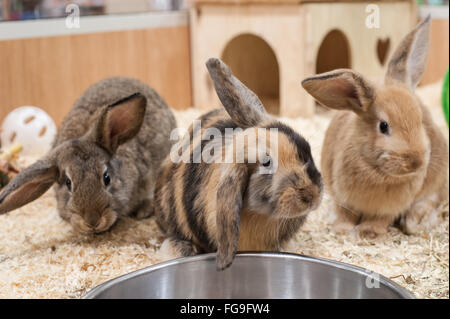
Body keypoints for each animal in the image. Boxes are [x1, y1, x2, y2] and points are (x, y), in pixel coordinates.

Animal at [300, 16, 448, 239]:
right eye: (383, 126)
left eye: (420, 119)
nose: (416, 162)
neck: (376, 171)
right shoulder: (342, 198)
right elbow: (345, 214)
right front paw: (342, 230)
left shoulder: (390, 208)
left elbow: (380, 219)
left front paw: (367, 234)